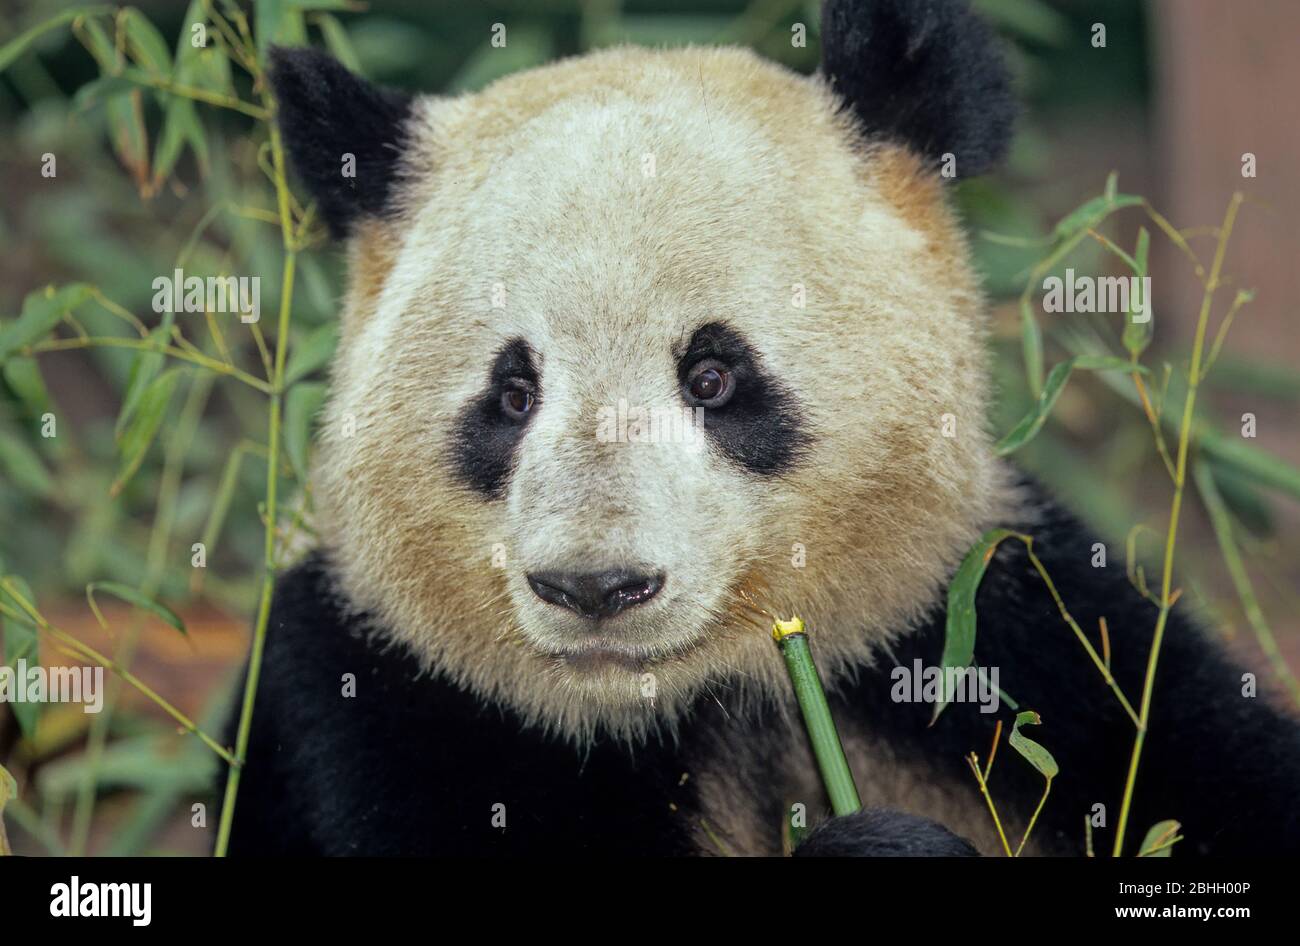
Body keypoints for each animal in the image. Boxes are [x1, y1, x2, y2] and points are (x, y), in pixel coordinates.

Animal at [225, 0, 1300, 856]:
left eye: (713, 377)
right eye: (512, 394)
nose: (595, 587)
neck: (694, 694)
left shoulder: (989, 632)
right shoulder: (390, 700)